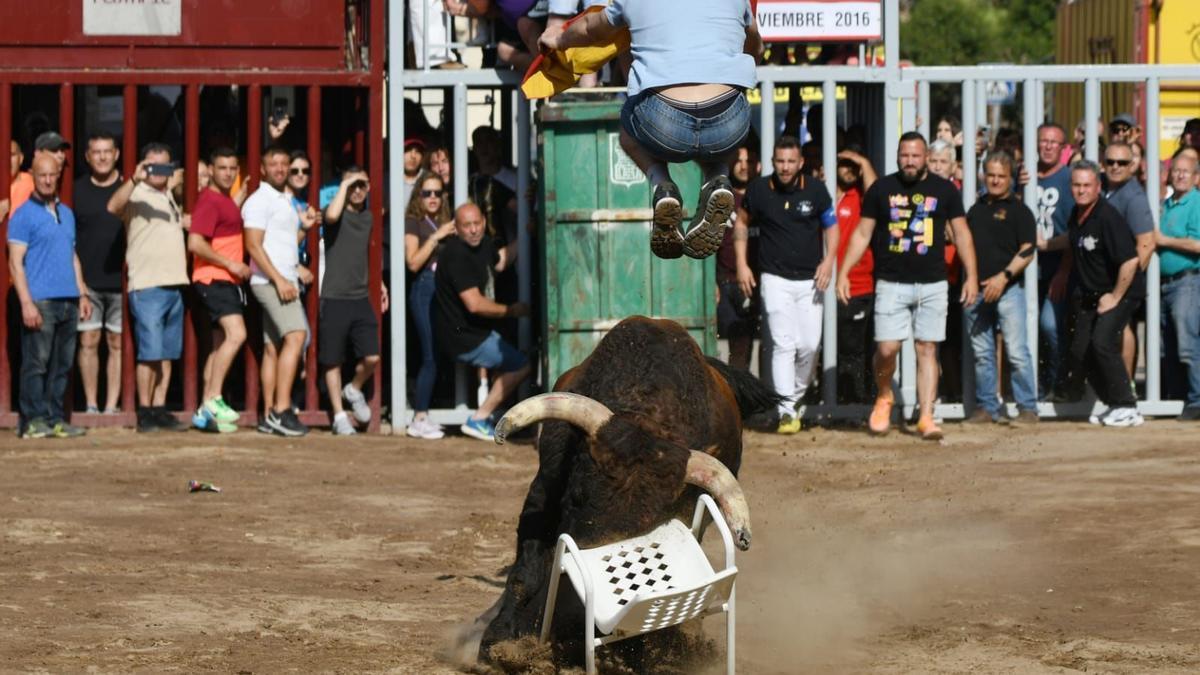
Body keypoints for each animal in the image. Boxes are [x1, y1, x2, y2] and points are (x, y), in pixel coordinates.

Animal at [468, 314, 777, 667]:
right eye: (576, 498)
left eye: (649, 523)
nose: (573, 621)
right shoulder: (543, 491)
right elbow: (525, 571)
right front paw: (499, 640)